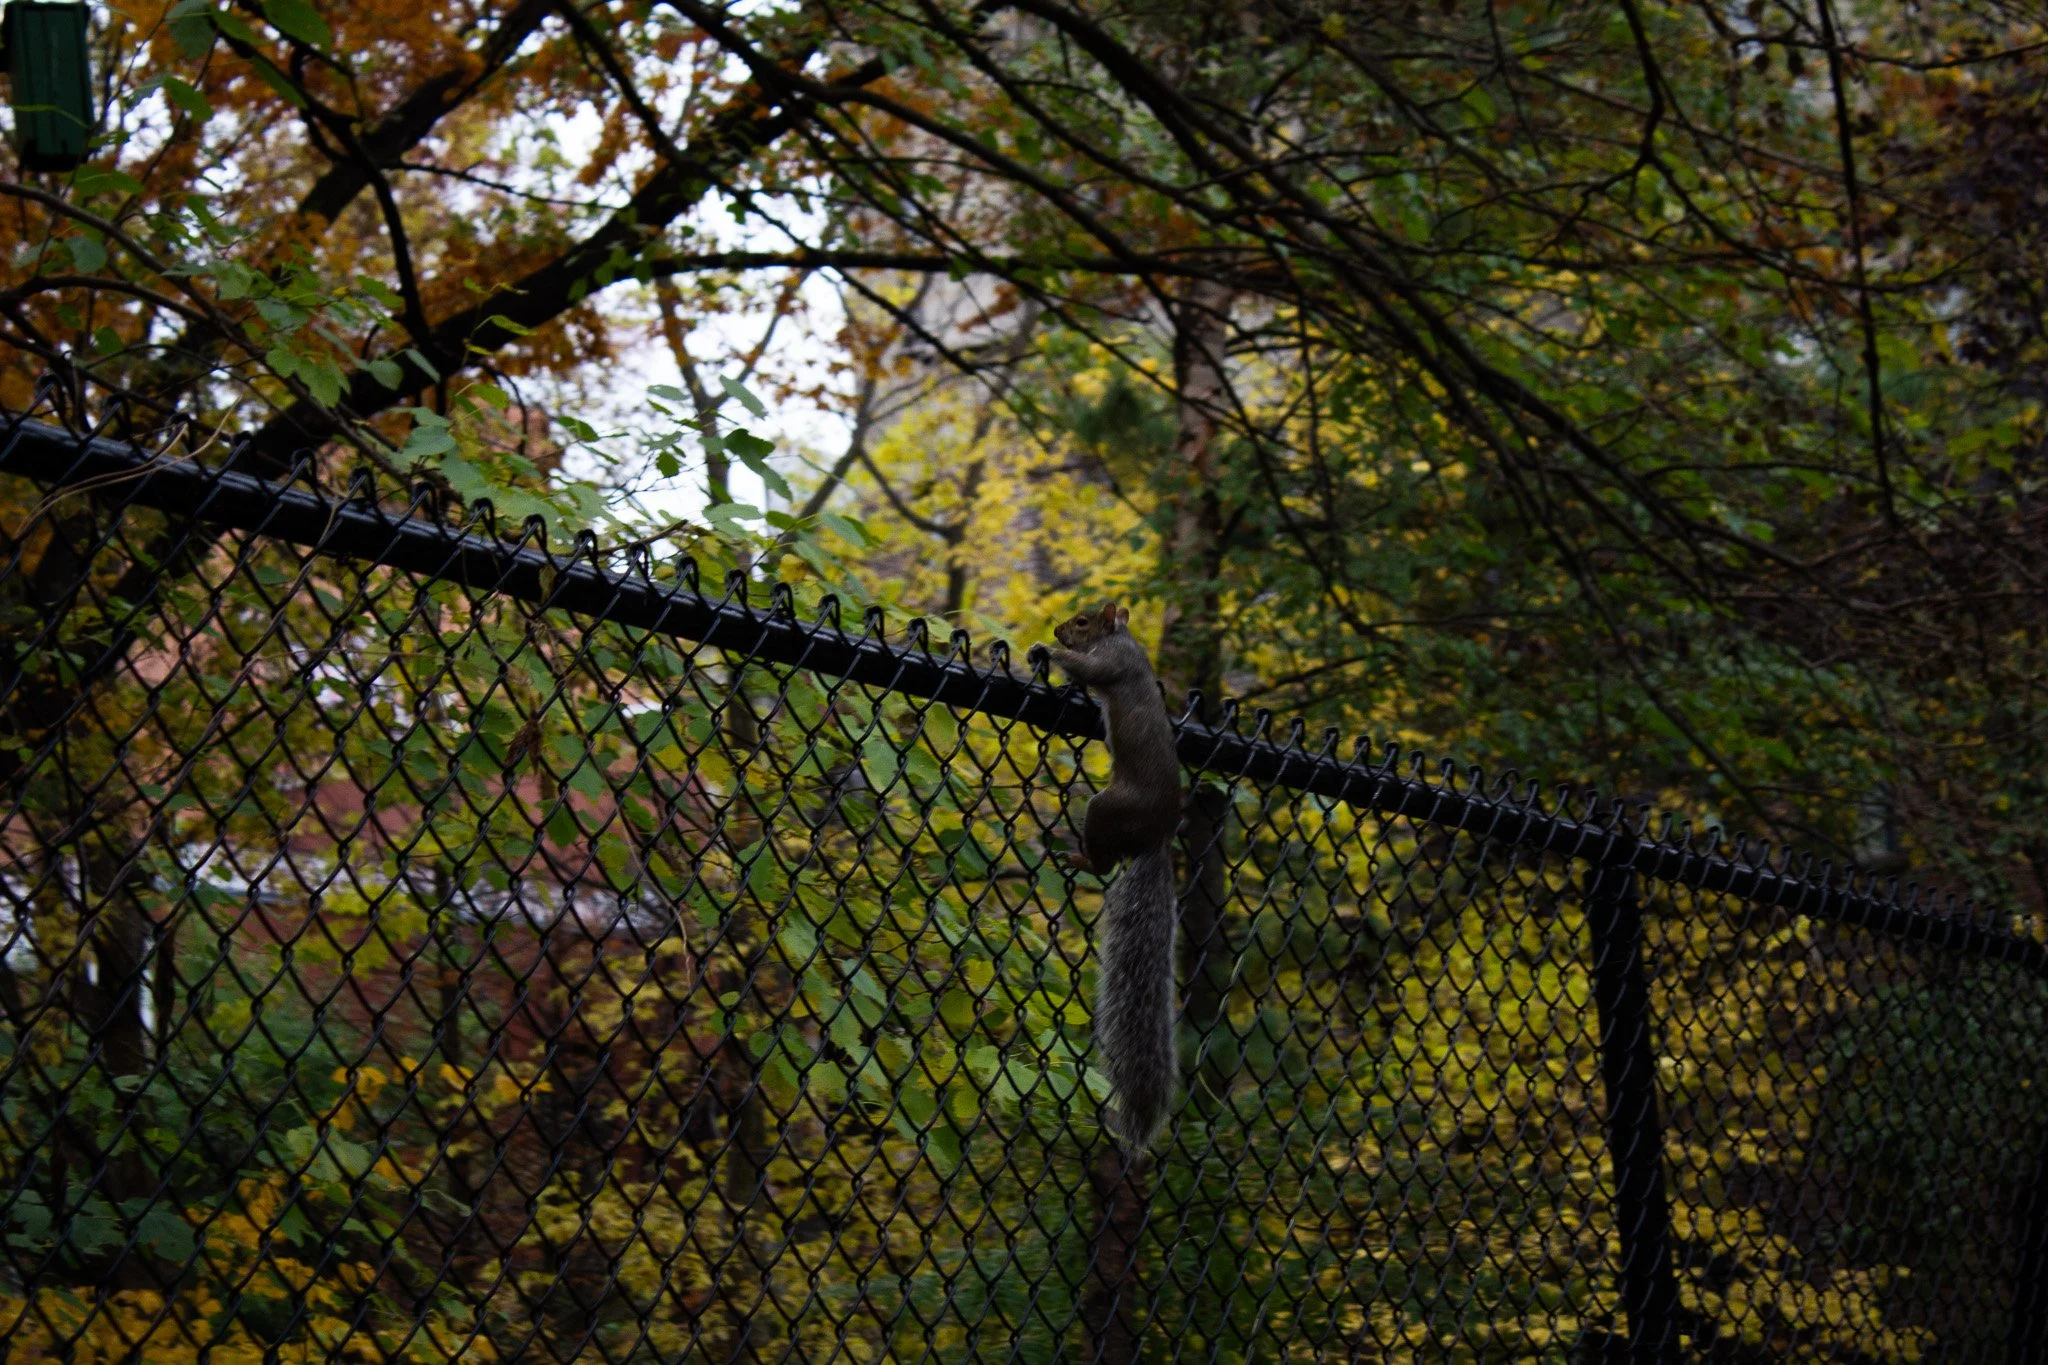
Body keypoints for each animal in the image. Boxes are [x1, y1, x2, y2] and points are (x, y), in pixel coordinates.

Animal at [1036, 601, 1184, 1150]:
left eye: (1081, 622)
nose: (1058, 629)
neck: (1123, 637)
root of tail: (1157, 835)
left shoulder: (1110, 662)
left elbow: (1089, 670)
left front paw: (1046, 650)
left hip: (1107, 808)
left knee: (1101, 859)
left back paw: (1078, 858)